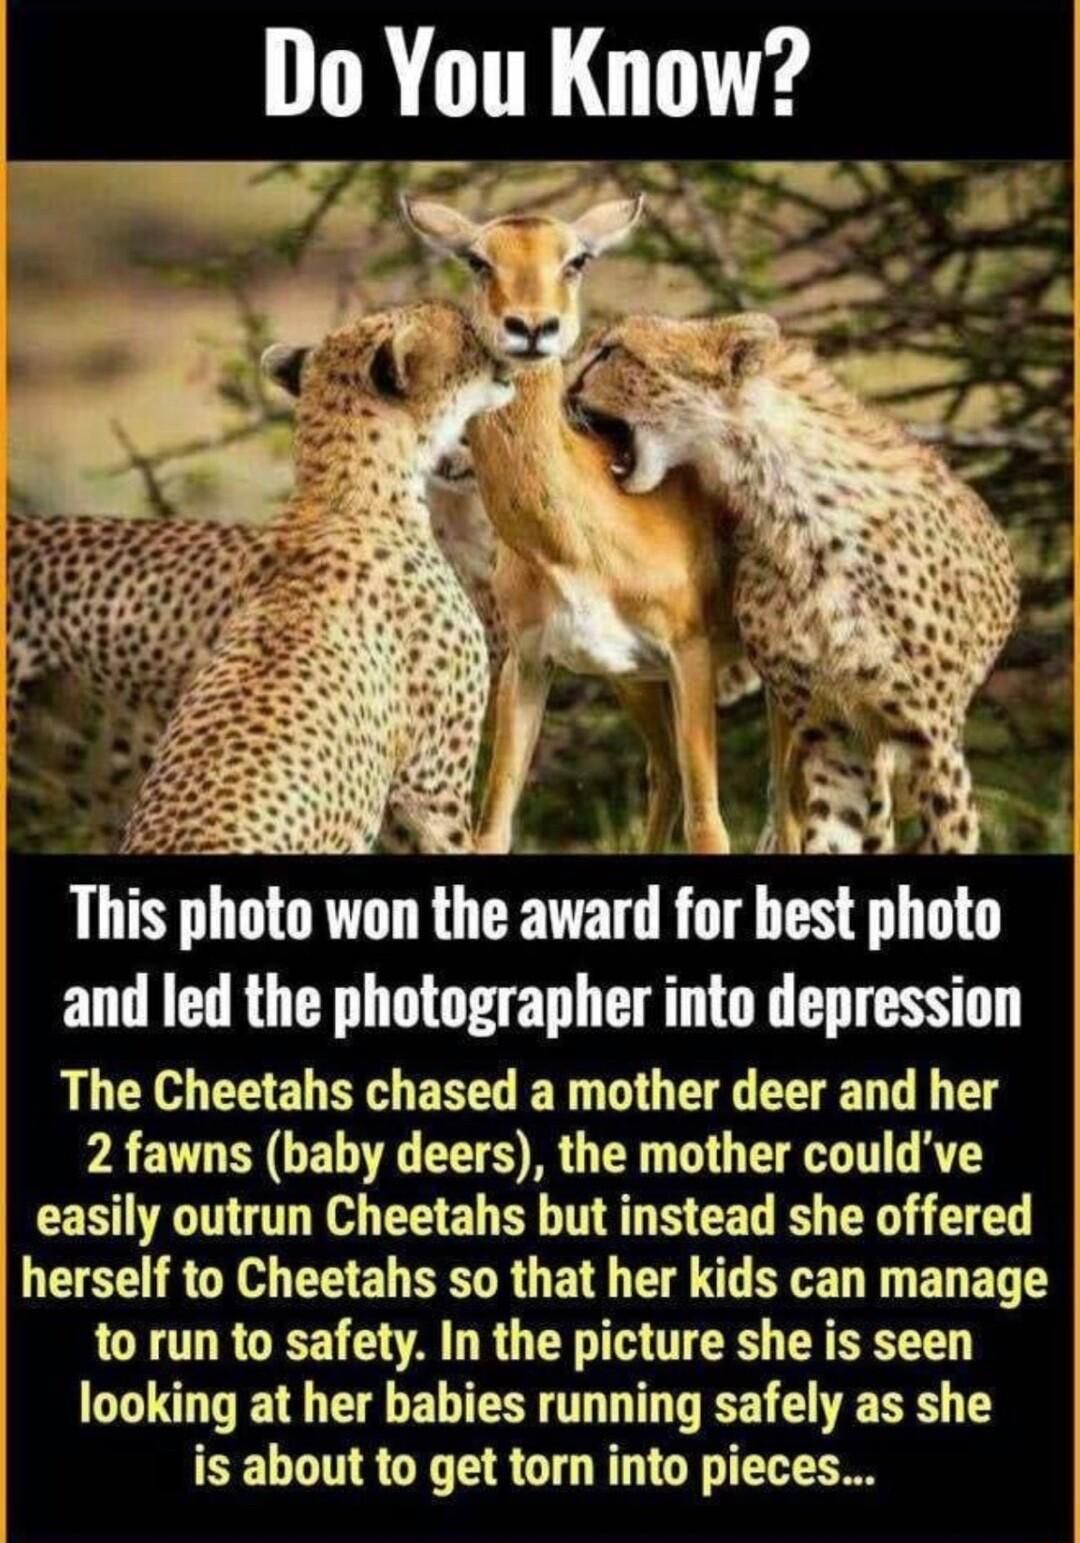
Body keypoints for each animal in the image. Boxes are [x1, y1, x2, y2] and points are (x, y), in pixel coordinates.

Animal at [402, 193, 751, 855]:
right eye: (477, 260)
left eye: (576, 259)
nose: (532, 327)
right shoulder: (529, 661)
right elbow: (493, 824)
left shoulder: (689, 655)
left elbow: (709, 825)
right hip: (632, 681)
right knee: (664, 772)